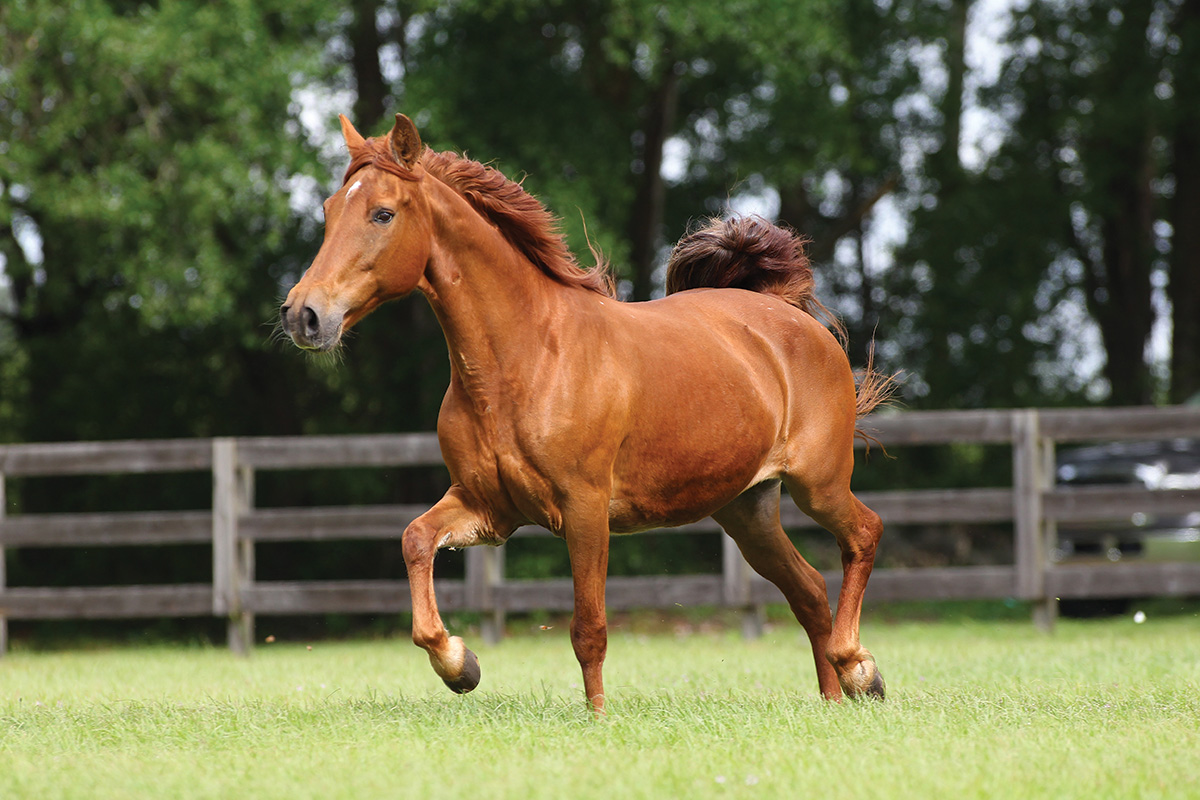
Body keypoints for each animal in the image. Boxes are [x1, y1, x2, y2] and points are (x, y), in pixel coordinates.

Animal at [280, 112, 892, 714]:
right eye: (329, 212)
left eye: (383, 213)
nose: (303, 315)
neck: (523, 361)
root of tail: (787, 313)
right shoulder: (487, 507)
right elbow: (415, 540)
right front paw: (460, 665)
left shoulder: (585, 508)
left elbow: (588, 628)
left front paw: (597, 717)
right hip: (747, 511)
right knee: (808, 591)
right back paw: (833, 699)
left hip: (818, 484)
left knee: (863, 534)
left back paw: (860, 670)